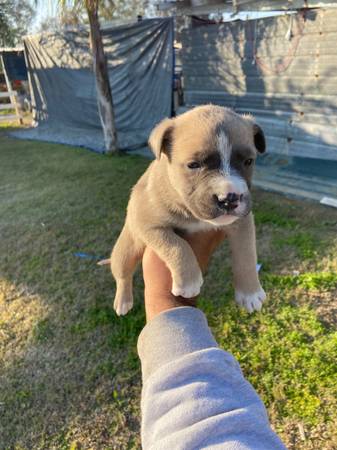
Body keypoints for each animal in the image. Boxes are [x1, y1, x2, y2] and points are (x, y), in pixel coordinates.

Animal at [107, 105, 266, 316]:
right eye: (193, 165)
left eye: (248, 161)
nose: (229, 199)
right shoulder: (147, 224)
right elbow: (176, 245)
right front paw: (188, 282)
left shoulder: (243, 221)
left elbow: (246, 253)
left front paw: (250, 293)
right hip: (125, 249)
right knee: (122, 274)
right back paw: (123, 301)